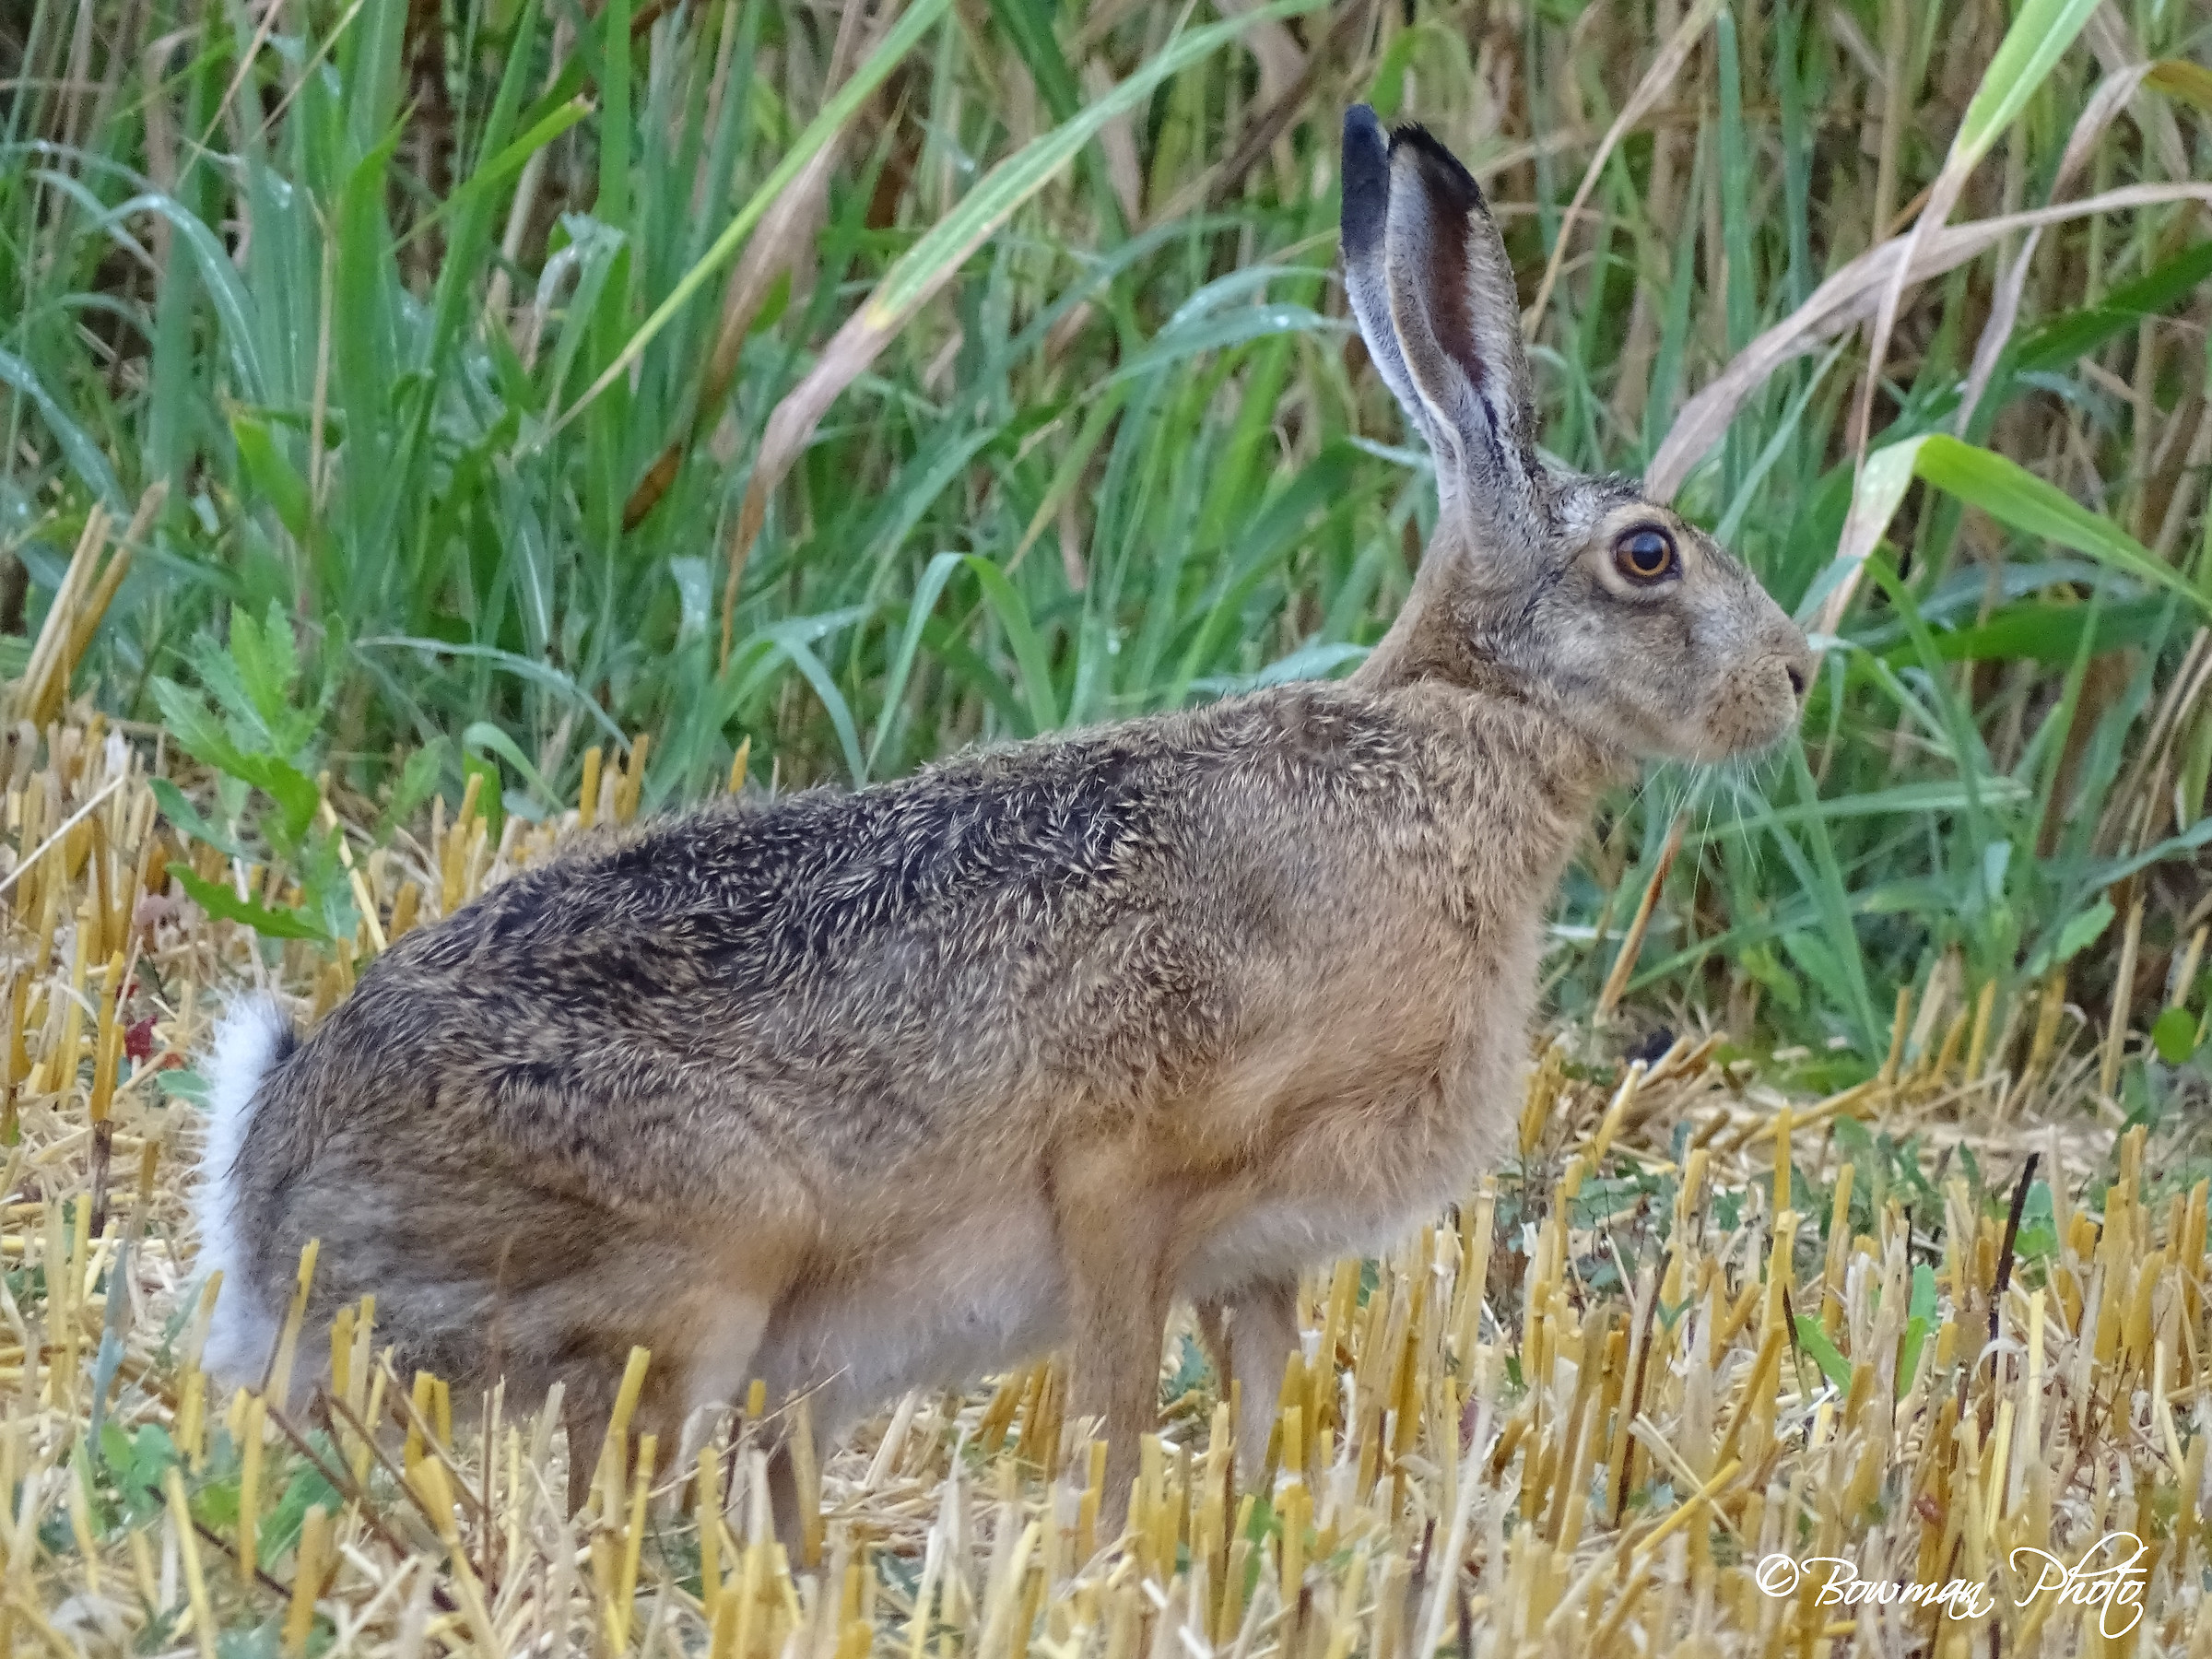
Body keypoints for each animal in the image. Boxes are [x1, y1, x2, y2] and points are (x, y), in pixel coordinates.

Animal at [191, 105, 1810, 1542]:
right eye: (1648, 557)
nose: (1797, 675)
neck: (1461, 730)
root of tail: (270, 1207)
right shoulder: (1122, 1177)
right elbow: (1113, 1416)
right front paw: (1112, 1562)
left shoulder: (1261, 1260)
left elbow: (1262, 1411)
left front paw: (1255, 1550)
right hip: (702, 1248)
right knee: (603, 1496)